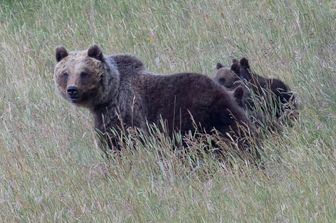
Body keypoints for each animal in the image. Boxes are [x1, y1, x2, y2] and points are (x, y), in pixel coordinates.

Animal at [53, 44, 253, 152]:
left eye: (84, 73)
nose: (72, 90)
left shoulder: (123, 112)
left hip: (196, 115)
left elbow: (117, 142)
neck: (110, 94)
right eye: (65, 73)